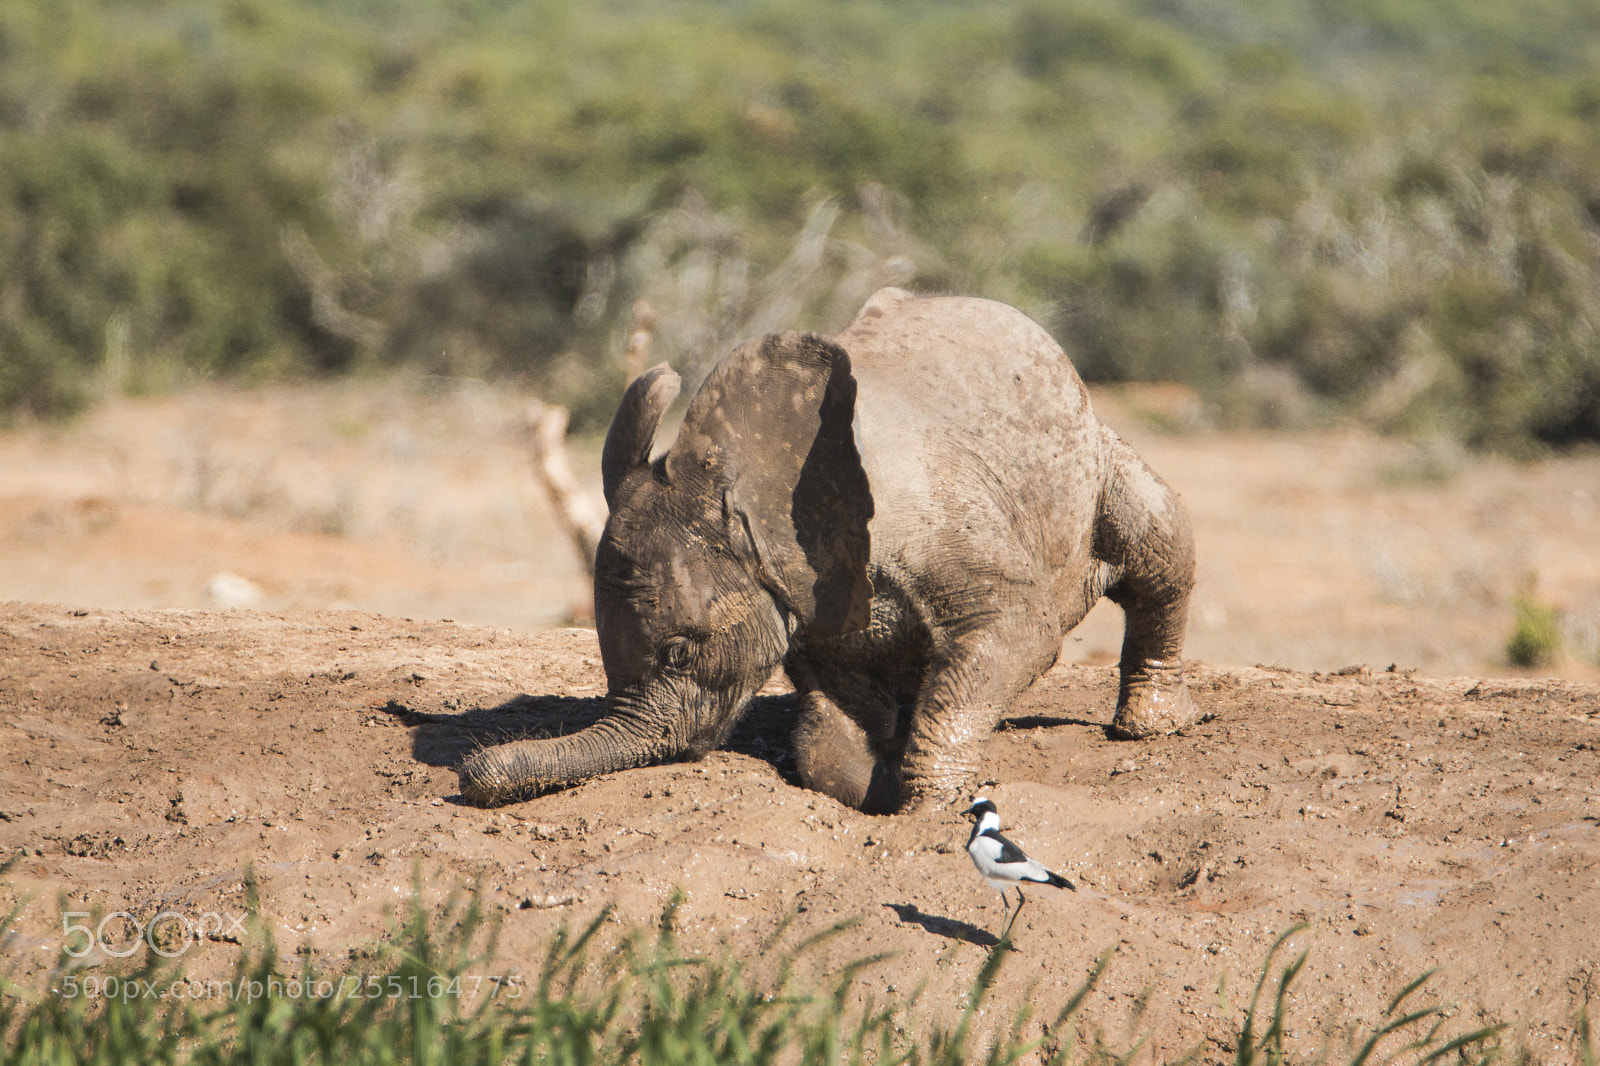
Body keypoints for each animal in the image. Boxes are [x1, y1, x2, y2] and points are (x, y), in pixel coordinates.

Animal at [458, 287, 1199, 813]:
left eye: (679, 653)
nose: (473, 776)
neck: (750, 502)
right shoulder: (805, 605)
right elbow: (830, 726)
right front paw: (876, 791)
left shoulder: (945, 529)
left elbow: (1017, 632)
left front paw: (926, 813)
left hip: (1097, 450)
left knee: (1160, 551)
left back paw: (1149, 729)